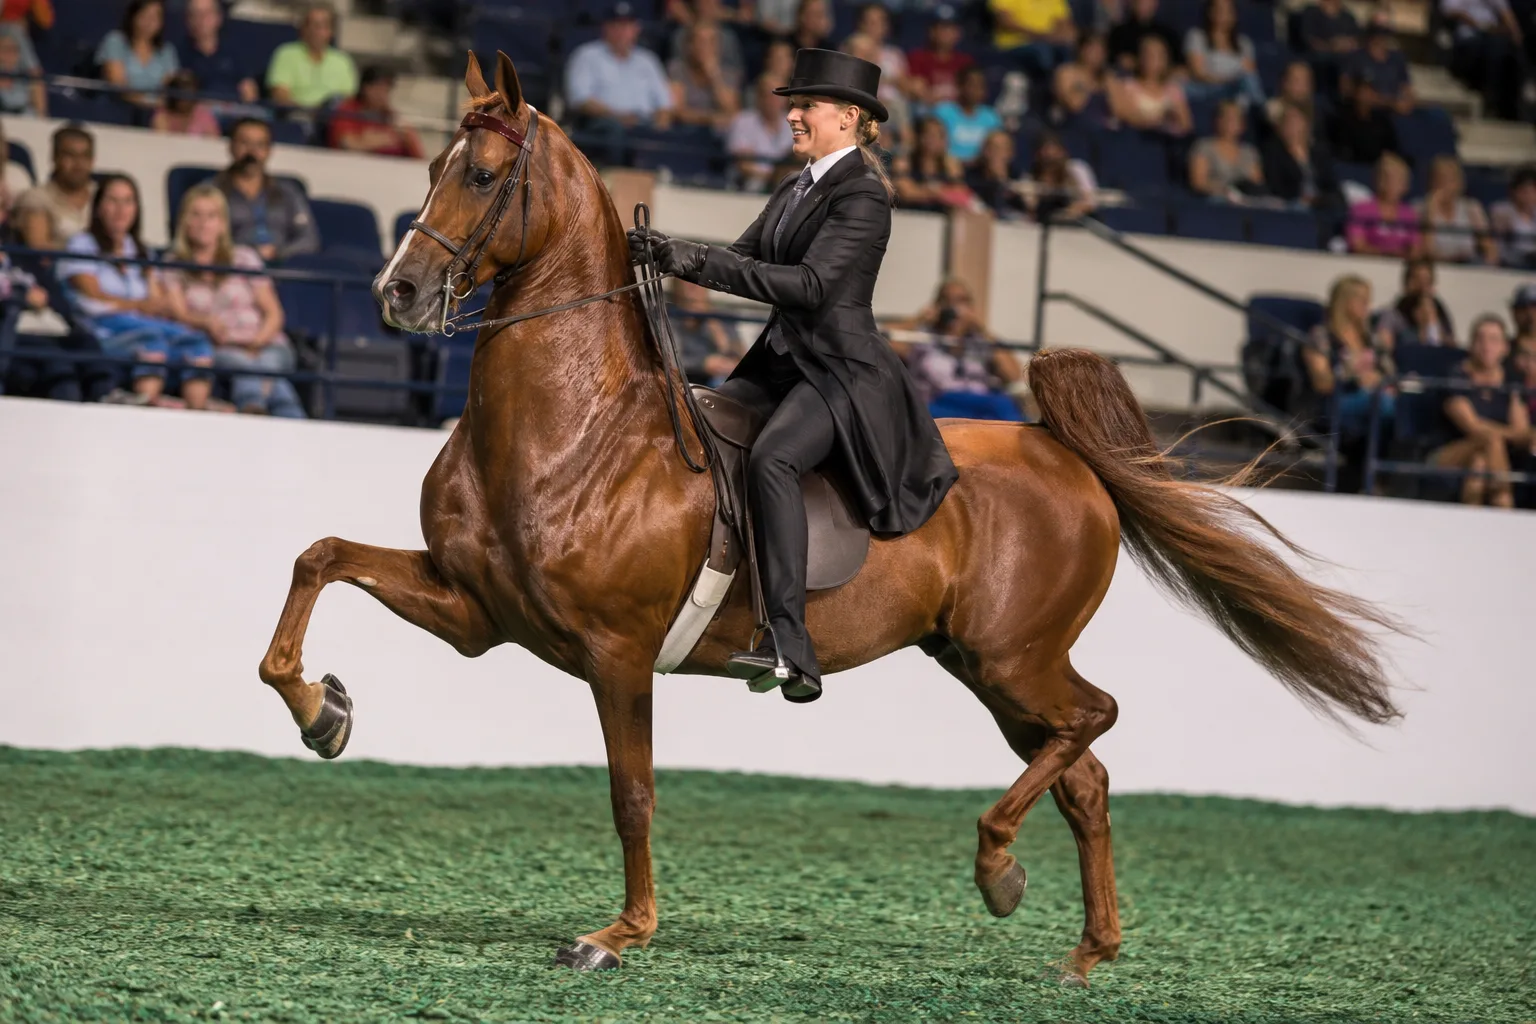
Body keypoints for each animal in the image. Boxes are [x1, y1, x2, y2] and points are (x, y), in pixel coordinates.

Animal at [258, 51, 1400, 982]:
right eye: (432, 163)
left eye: (487, 175)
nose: (398, 293)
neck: (574, 425)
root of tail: (1063, 452)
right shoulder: (476, 611)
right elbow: (320, 557)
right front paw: (323, 712)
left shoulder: (616, 654)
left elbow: (633, 794)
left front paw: (618, 934)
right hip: (983, 665)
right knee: (1087, 772)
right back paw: (1082, 948)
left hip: (1015, 655)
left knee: (1096, 719)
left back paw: (997, 866)